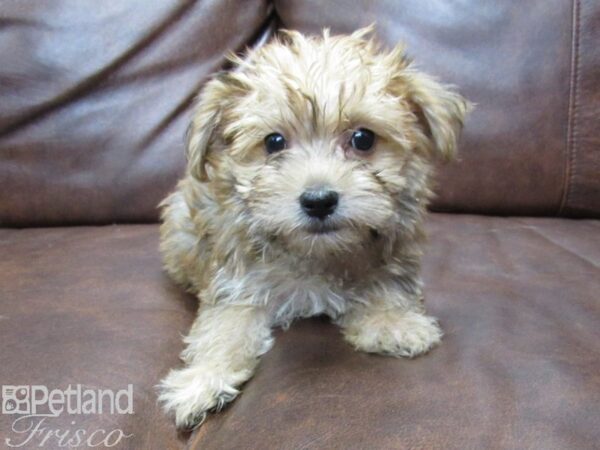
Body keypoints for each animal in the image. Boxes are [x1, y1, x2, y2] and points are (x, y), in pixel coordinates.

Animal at [157, 26, 472, 428]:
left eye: (363, 139)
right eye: (274, 142)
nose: (319, 200)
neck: (316, 253)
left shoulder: (393, 252)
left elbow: (384, 284)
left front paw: (393, 321)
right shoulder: (237, 283)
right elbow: (224, 328)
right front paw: (204, 379)